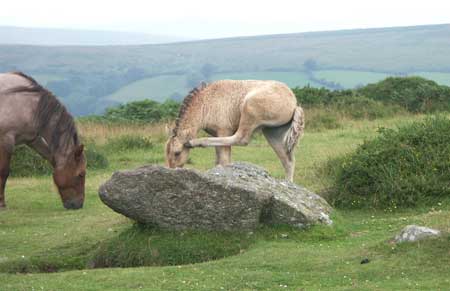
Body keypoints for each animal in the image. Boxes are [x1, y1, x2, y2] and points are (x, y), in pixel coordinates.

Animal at [0, 72, 86, 210]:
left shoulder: (33, 139)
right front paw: (1, 203)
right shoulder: (6, 140)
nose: (78, 205)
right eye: (81, 174)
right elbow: (3, 171)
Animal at [166, 78, 306, 181]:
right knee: (288, 160)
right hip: (273, 132)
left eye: (177, 153)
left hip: (249, 108)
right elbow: (218, 159)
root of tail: (294, 103)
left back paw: (195, 142)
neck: (205, 103)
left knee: (241, 138)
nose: (171, 170)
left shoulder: (223, 130)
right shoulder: (216, 133)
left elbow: (224, 159)